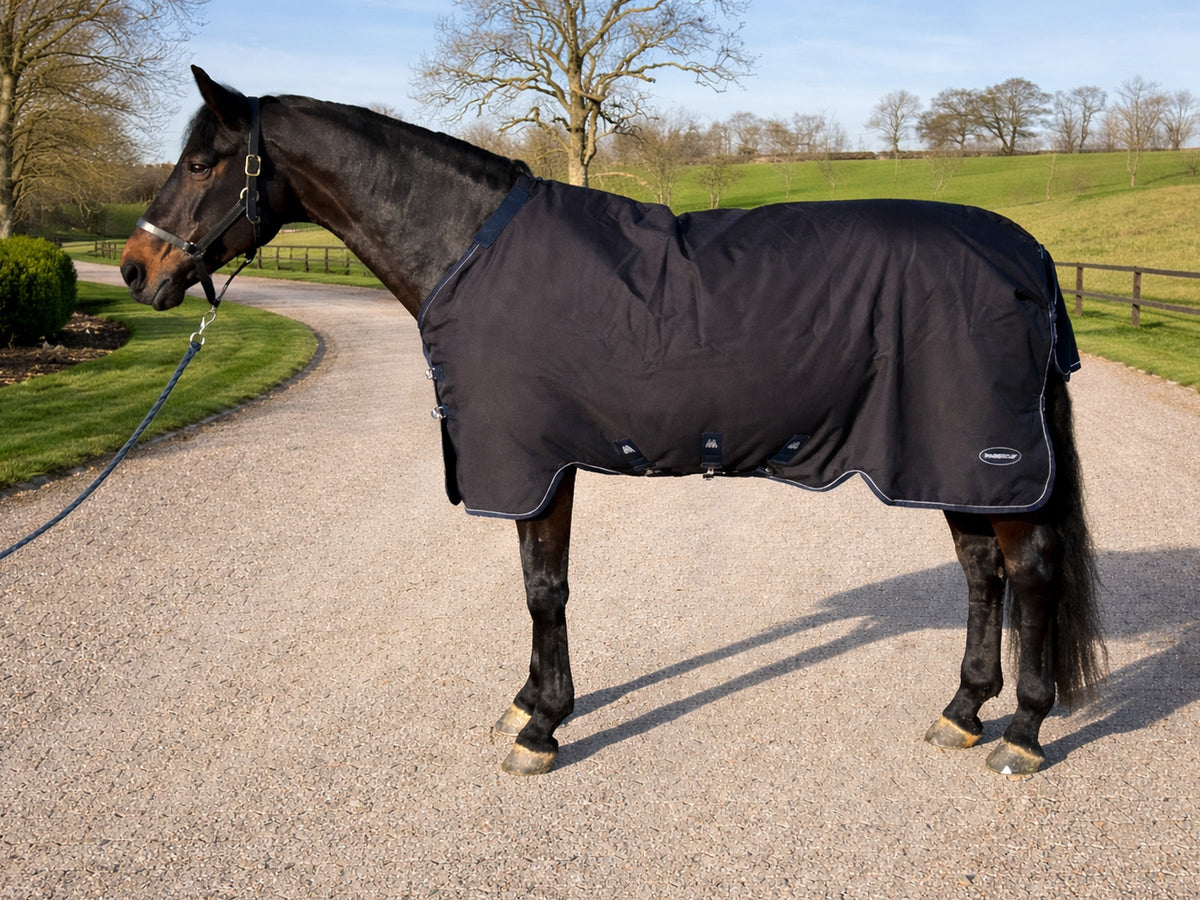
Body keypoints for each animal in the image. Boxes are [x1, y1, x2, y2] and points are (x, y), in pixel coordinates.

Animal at [120, 67, 1106, 777]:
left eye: (203, 164)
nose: (136, 268)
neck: (467, 250)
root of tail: (1028, 252)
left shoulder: (531, 465)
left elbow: (543, 590)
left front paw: (543, 728)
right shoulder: (533, 468)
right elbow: (534, 583)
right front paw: (527, 704)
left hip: (987, 459)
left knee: (1031, 573)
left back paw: (1022, 731)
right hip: (945, 462)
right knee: (983, 575)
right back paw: (962, 713)